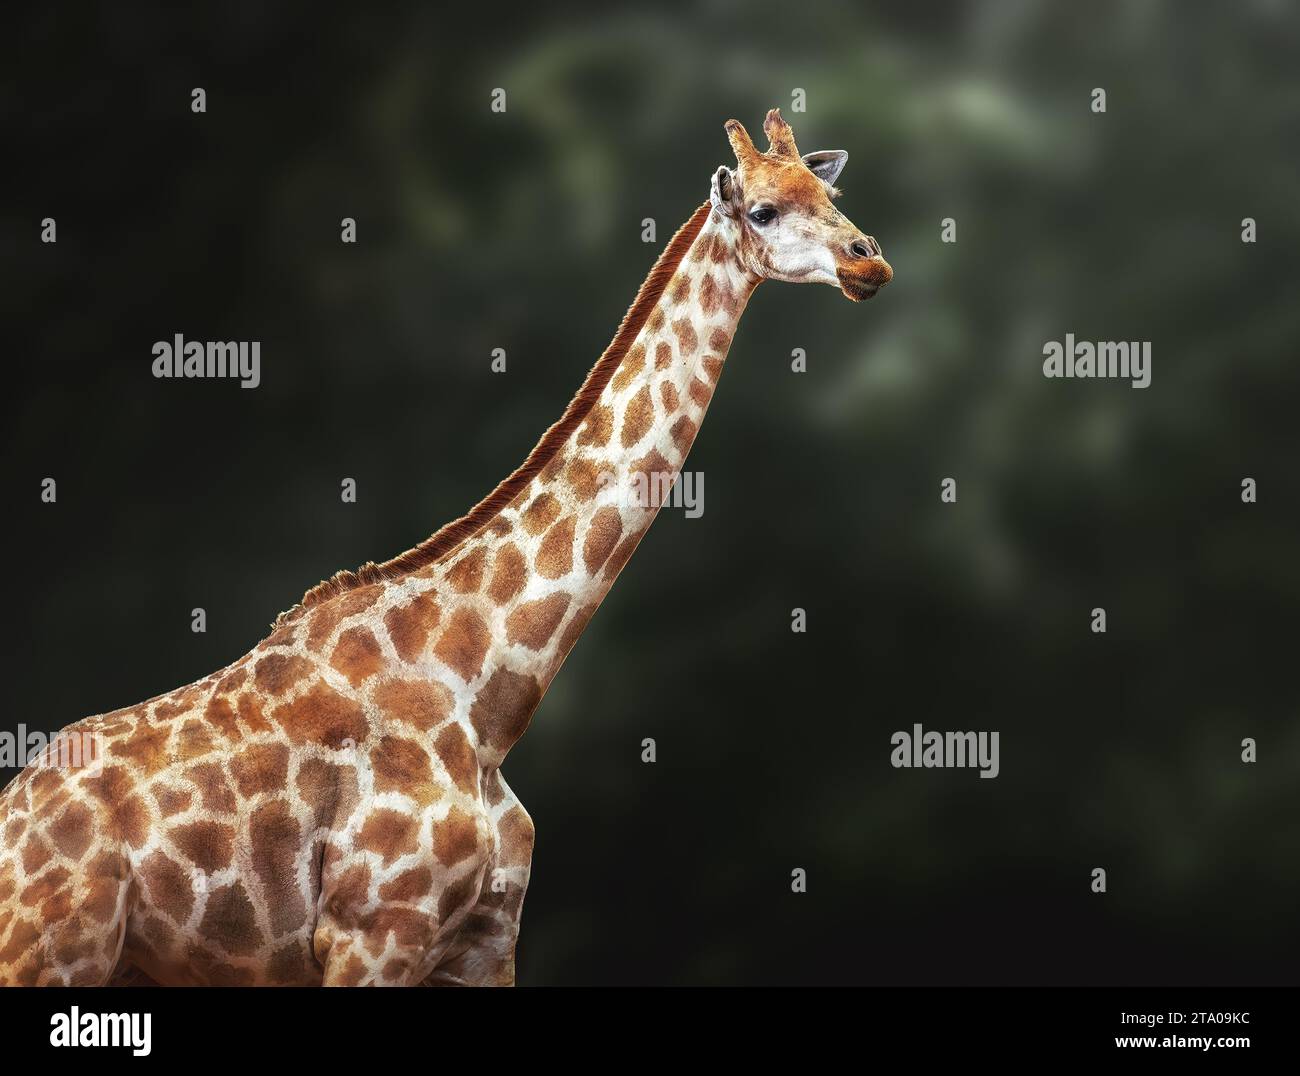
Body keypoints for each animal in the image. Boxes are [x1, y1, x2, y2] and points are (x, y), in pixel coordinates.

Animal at [0, 109, 891, 986]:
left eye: (829, 193)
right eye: (763, 211)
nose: (869, 261)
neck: (484, 695)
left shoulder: (485, 944)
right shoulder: (373, 935)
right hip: (52, 953)